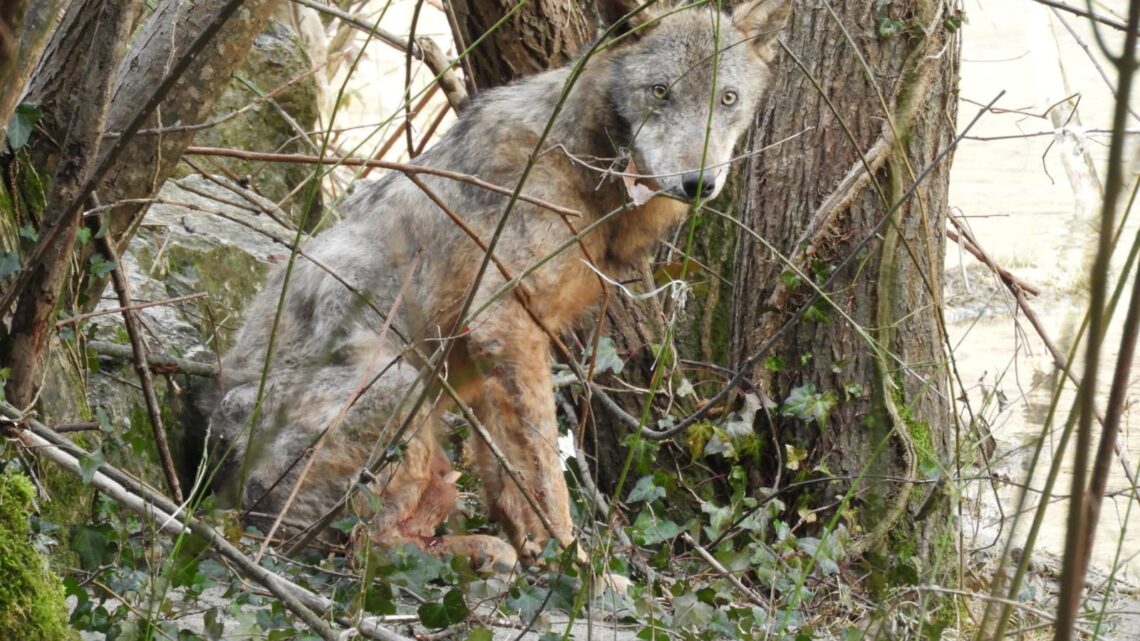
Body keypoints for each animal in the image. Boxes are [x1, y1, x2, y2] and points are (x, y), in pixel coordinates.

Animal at [207, 0, 793, 565]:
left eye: (728, 98)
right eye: (660, 92)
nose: (699, 183)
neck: (588, 168)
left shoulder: (501, 348)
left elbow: (509, 477)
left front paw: (537, 550)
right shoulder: (505, 323)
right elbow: (546, 475)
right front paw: (578, 566)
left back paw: (488, 556)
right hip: (402, 388)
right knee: (360, 550)